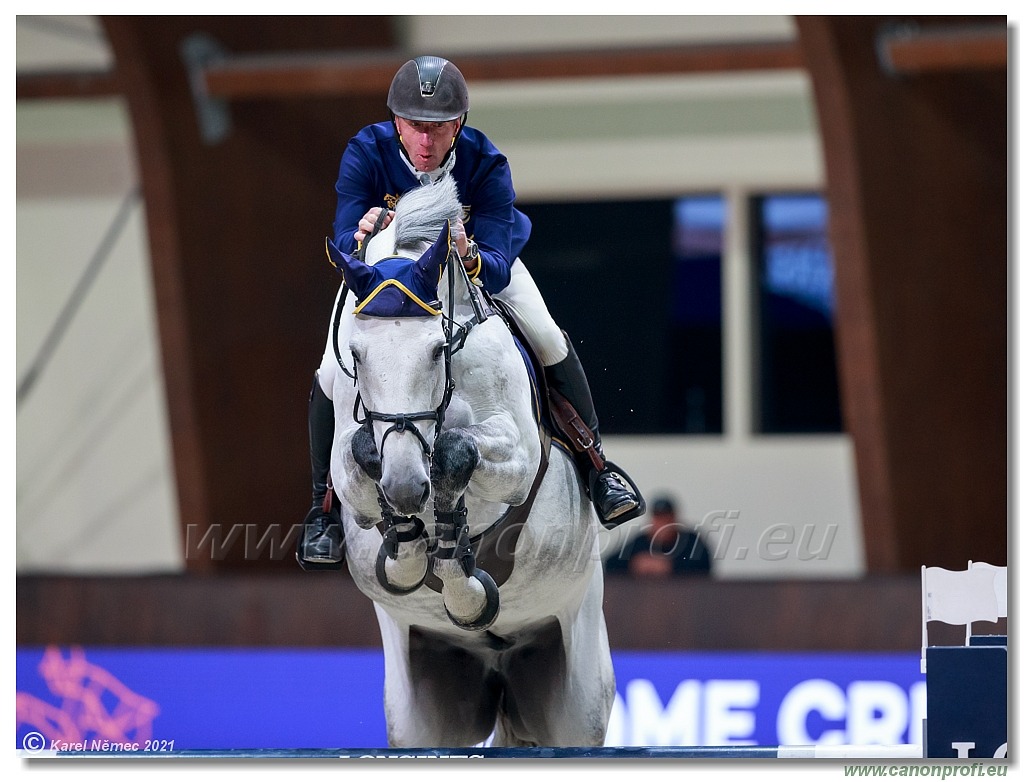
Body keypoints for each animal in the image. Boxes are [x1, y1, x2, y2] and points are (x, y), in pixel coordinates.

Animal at [325, 179, 614, 753]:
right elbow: (364, 462)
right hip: (423, 712)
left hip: (575, 696)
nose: (407, 486)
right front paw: (412, 547)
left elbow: (458, 452)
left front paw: (462, 589)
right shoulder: (352, 469)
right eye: (358, 355)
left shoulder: (517, 454)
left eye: (438, 349)